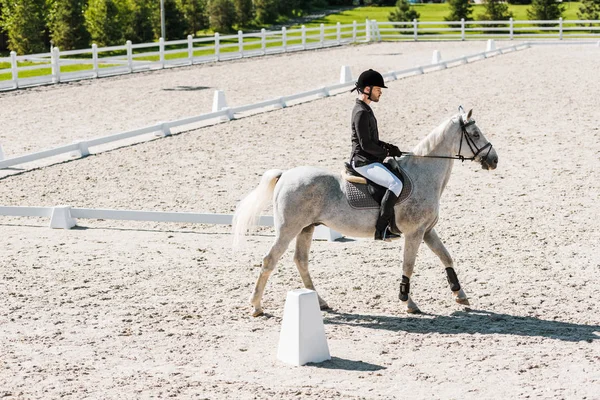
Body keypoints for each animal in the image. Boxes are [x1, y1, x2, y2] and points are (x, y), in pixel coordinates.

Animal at [233, 109, 496, 316]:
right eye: (474, 134)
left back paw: (320, 301)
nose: (494, 160)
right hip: (288, 229)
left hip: (306, 228)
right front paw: (408, 303)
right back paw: (256, 306)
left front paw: (460, 295)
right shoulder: (414, 233)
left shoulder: (427, 230)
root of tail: (285, 174)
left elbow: (446, 257)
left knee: (301, 261)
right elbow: (408, 265)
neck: (424, 174)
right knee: (270, 260)